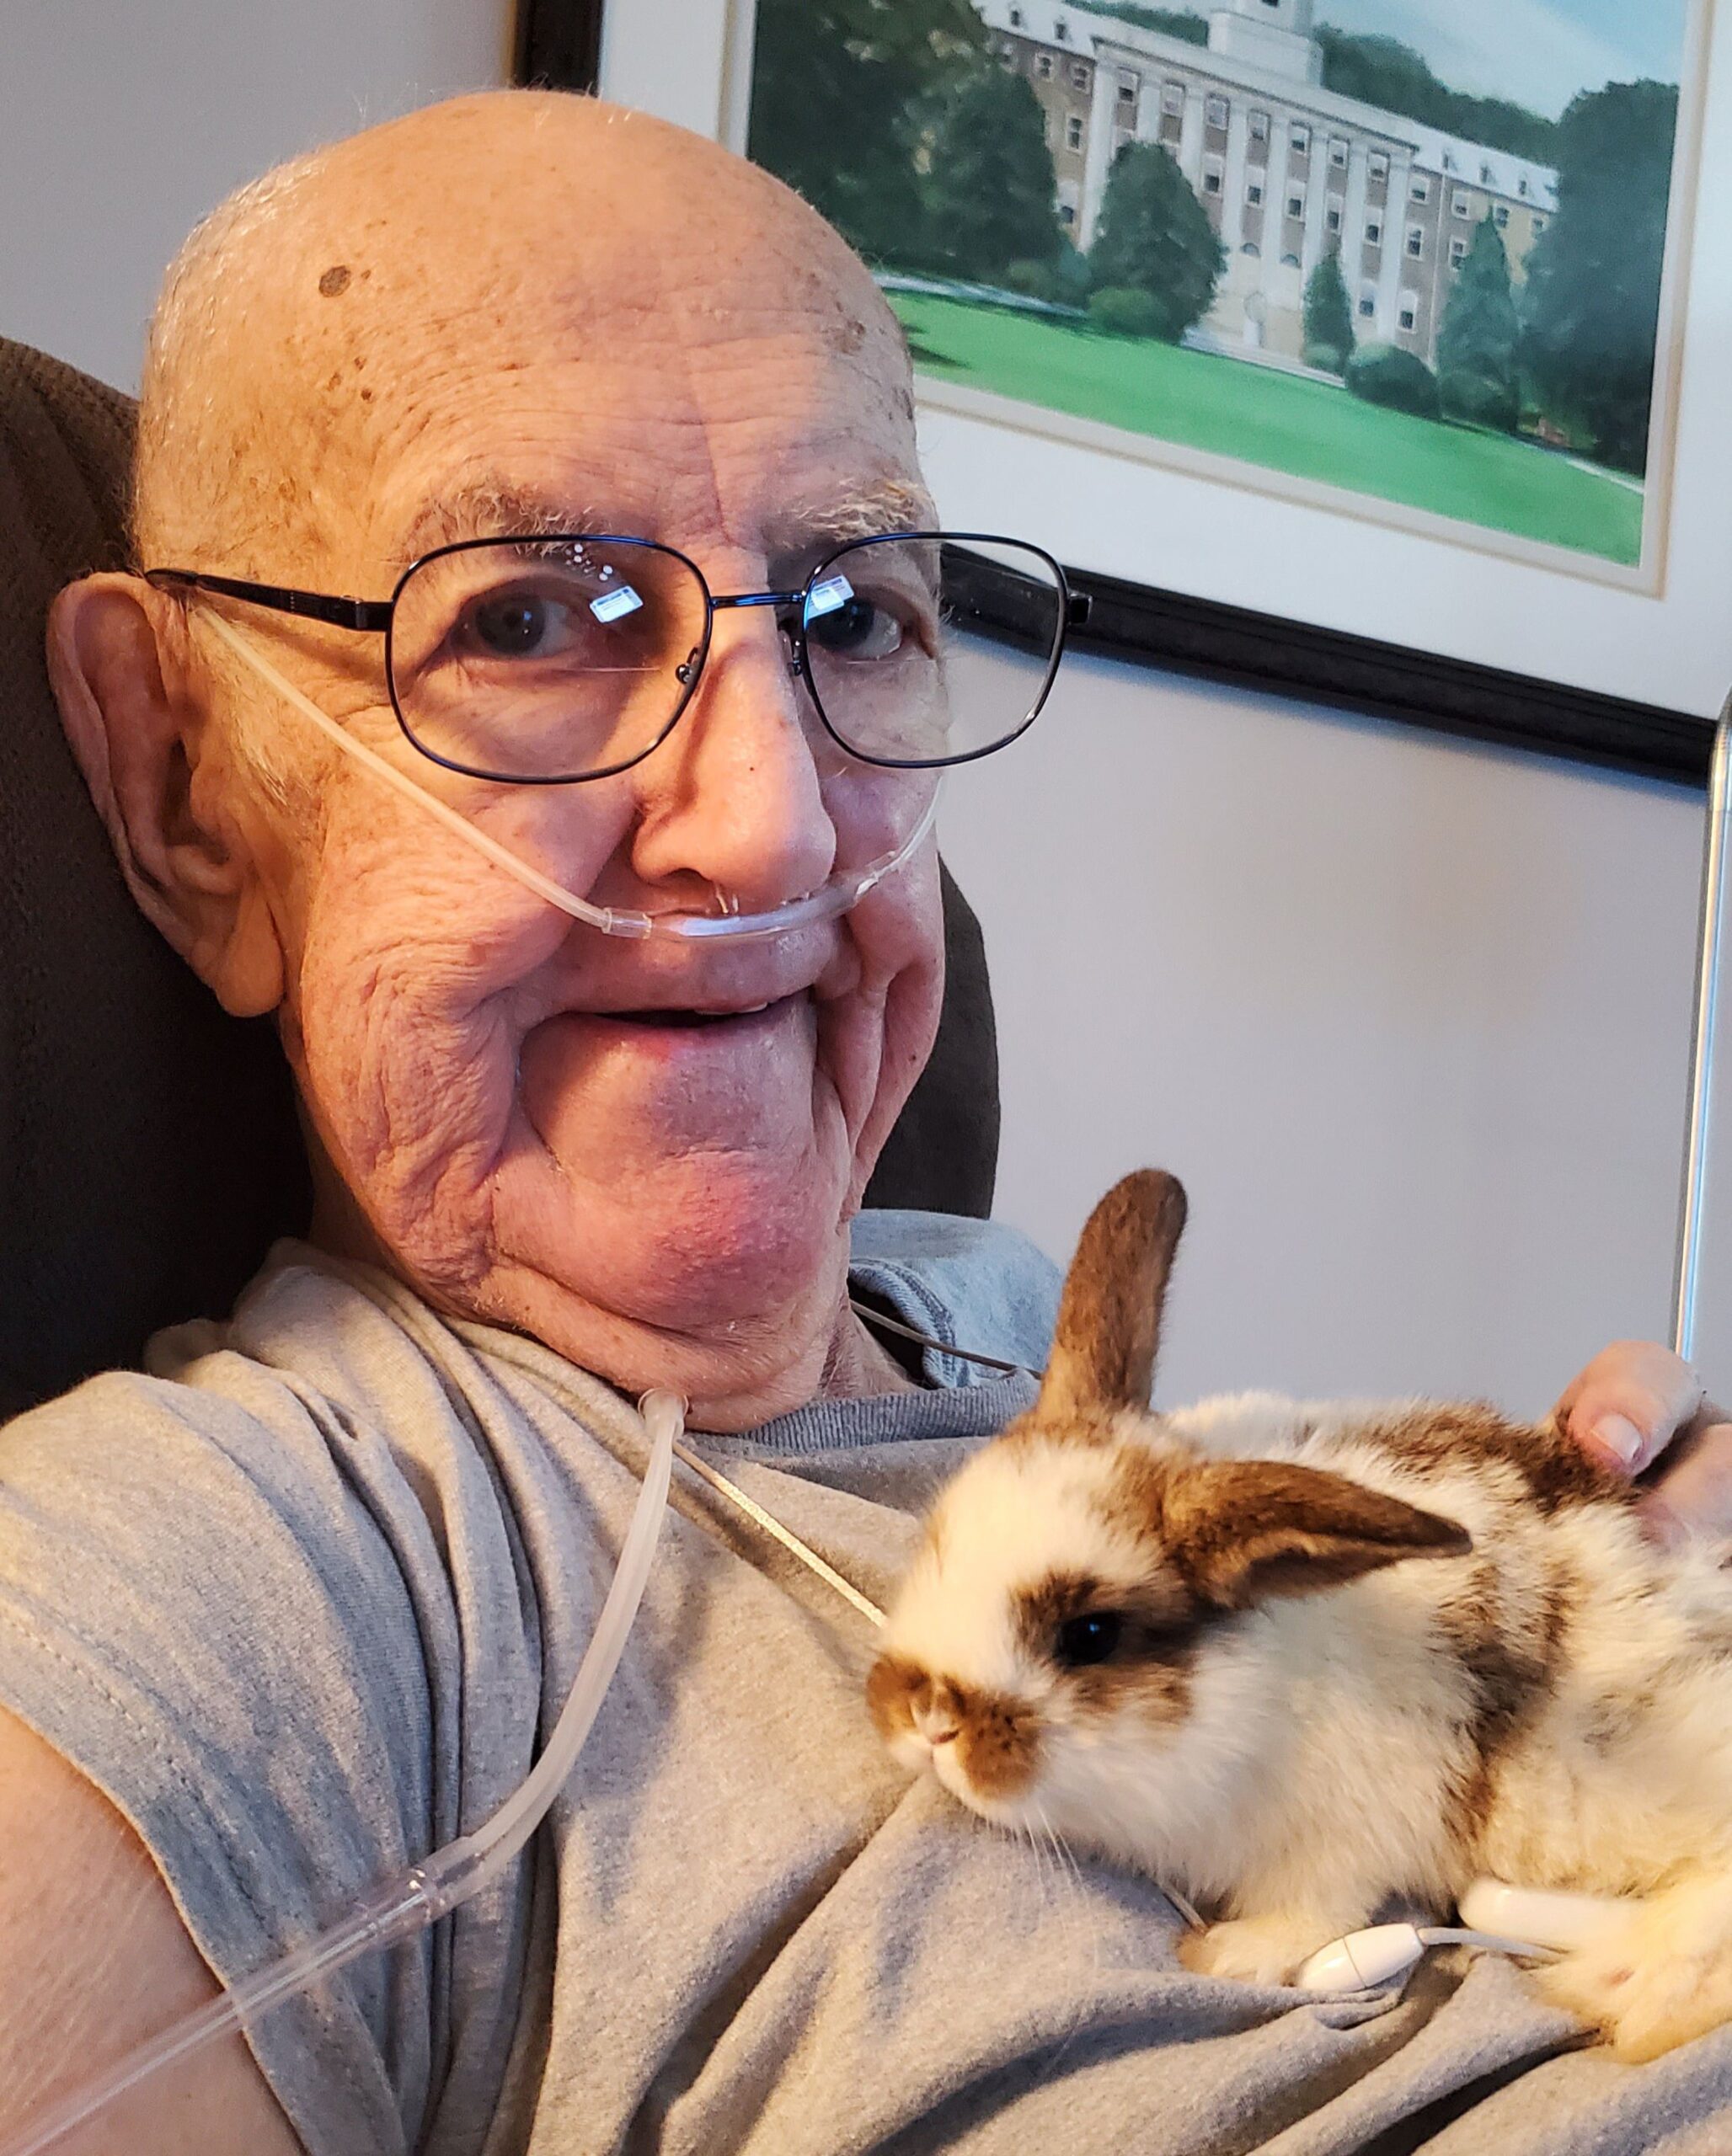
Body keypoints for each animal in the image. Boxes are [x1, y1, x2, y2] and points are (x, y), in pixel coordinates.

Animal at [868, 1169, 1732, 2061]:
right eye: (936, 1541)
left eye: (1091, 1636)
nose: (930, 1719)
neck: (1254, 1700)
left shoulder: (1350, 1834)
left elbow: (1313, 1913)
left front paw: (1225, 1954)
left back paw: (1639, 1987)